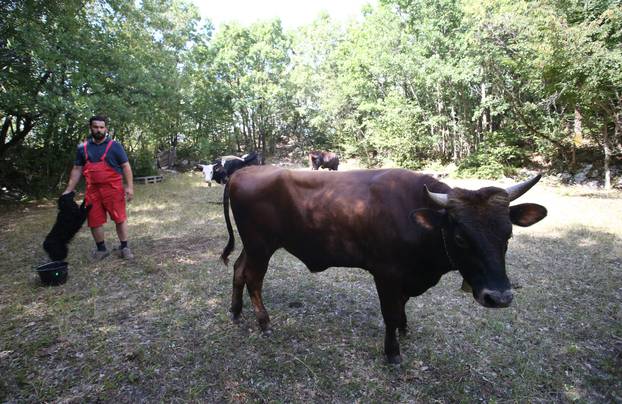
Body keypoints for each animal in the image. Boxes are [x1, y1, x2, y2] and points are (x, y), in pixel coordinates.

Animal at [222, 166, 548, 364]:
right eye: (460, 237)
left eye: (508, 233)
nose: (499, 297)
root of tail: (243, 171)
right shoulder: (386, 272)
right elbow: (390, 313)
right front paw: (392, 353)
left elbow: (401, 307)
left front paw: (405, 328)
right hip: (261, 246)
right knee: (254, 279)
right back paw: (264, 322)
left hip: (252, 246)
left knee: (238, 269)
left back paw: (236, 312)